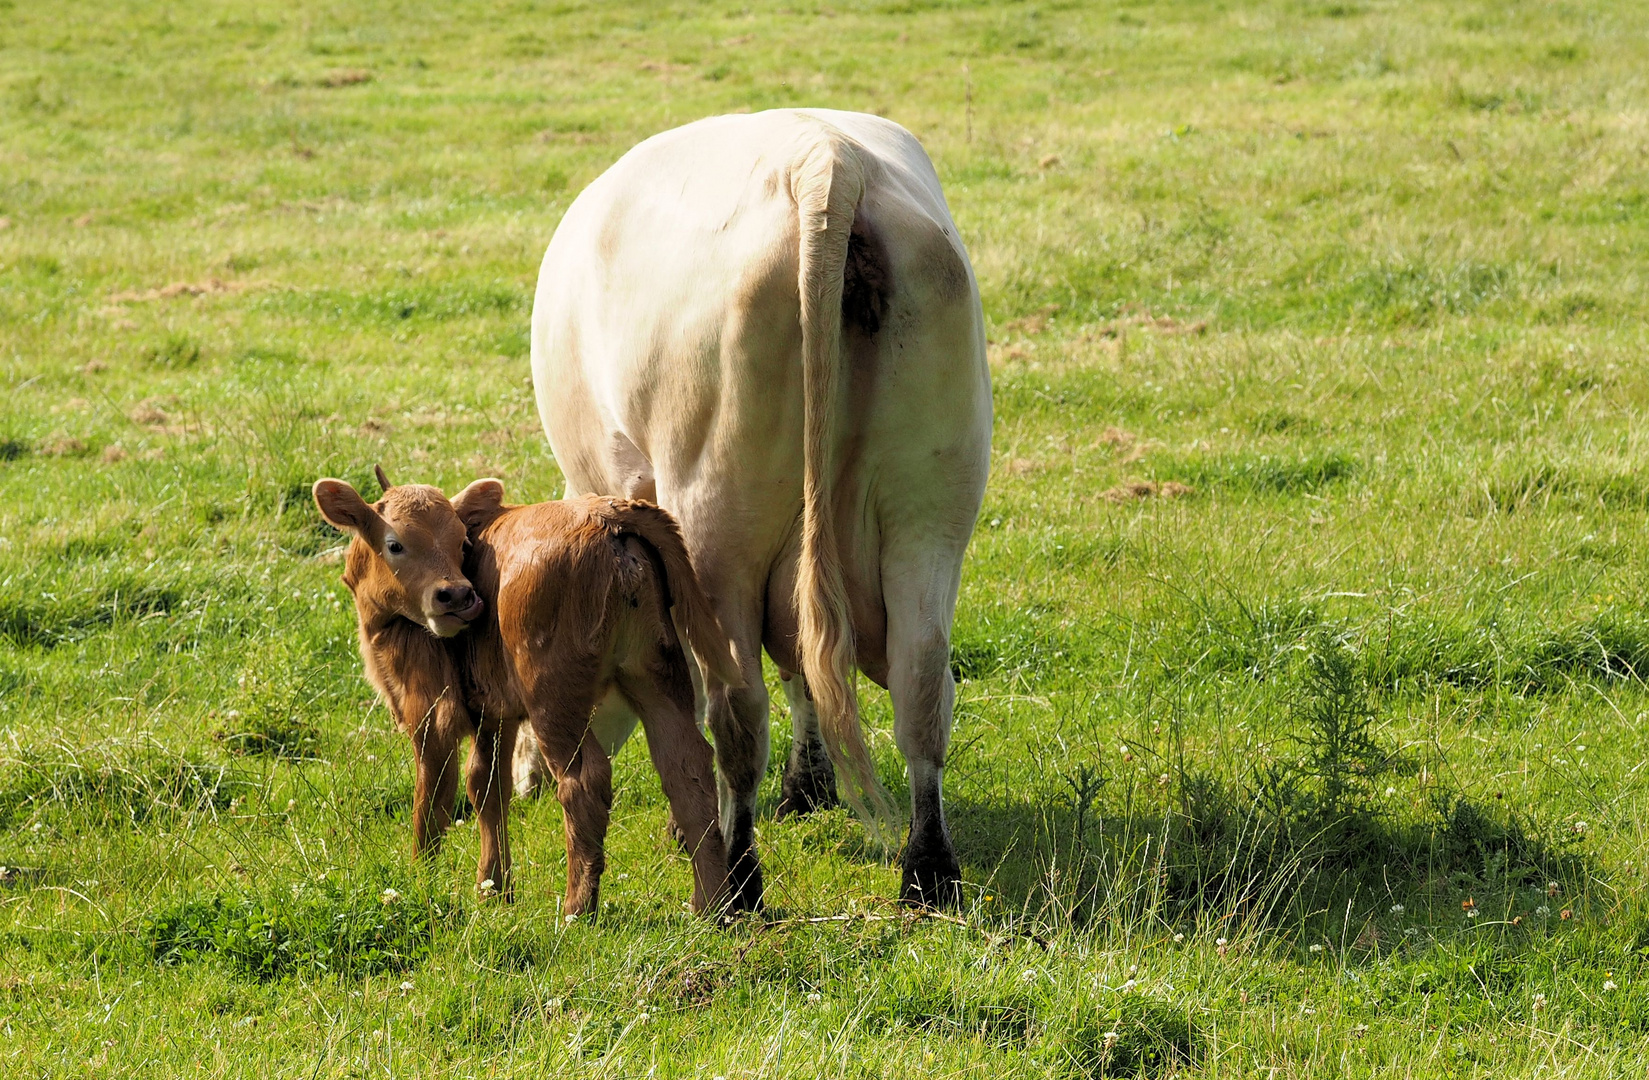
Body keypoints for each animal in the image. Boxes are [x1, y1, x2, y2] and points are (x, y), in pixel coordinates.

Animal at [311, 468, 738, 916]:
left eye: (461, 542)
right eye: (395, 544)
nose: (459, 595)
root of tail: (607, 514)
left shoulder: (429, 712)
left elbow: (433, 796)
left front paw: (420, 877)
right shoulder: (493, 714)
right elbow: (486, 787)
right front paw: (493, 887)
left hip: (554, 700)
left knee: (584, 782)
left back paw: (577, 909)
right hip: (656, 675)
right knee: (686, 769)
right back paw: (712, 906)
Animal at [527, 109, 989, 910]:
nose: (522, 776)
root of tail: (825, 159)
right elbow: (805, 662)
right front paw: (809, 787)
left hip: (719, 526)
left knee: (738, 707)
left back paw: (735, 882)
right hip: (931, 514)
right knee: (922, 685)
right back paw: (927, 873)